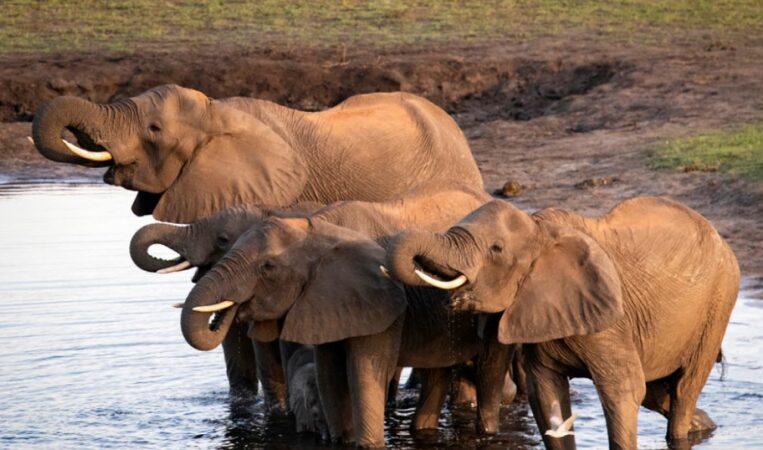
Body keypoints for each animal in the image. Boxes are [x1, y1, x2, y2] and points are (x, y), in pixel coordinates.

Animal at [178, 217, 512, 448]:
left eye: (268, 267)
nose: (229, 312)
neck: (322, 240)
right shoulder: (326, 307)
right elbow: (330, 378)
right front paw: (342, 439)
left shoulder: (381, 313)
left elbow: (363, 376)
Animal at [384, 196, 739, 449]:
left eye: (496, 248)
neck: (539, 230)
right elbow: (546, 395)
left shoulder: (611, 320)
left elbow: (623, 389)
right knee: (659, 392)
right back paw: (704, 426)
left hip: (719, 302)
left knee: (683, 389)